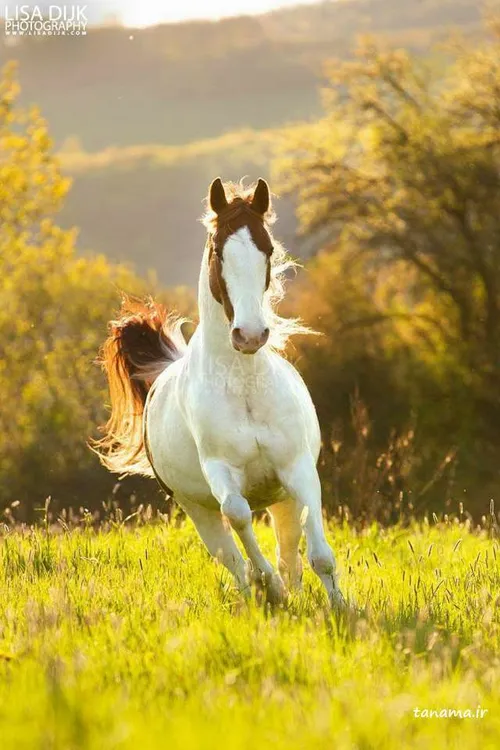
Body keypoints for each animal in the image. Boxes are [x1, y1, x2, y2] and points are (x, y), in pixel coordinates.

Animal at [94, 179, 344, 608]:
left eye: (268, 249)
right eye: (217, 251)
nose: (250, 335)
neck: (245, 387)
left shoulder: (297, 470)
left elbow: (319, 554)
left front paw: (343, 608)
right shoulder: (221, 474)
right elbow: (239, 516)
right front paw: (268, 586)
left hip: (282, 499)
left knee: (290, 554)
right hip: (196, 508)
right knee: (231, 557)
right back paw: (263, 592)